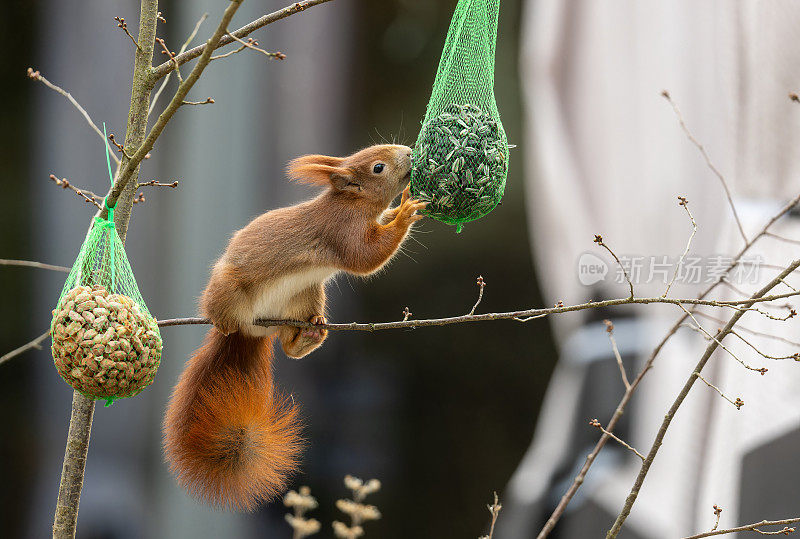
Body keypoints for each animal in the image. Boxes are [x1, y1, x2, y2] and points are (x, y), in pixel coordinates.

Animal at [162, 146, 424, 512]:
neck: (351, 203)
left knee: (288, 345)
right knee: (225, 316)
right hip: (229, 290)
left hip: (307, 295)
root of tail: (254, 330)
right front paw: (404, 213)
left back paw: (309, 335)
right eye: (378, 167)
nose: (410, 152)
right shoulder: (341, 230)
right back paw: (227, 325)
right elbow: (364, 258)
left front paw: (401, 207)